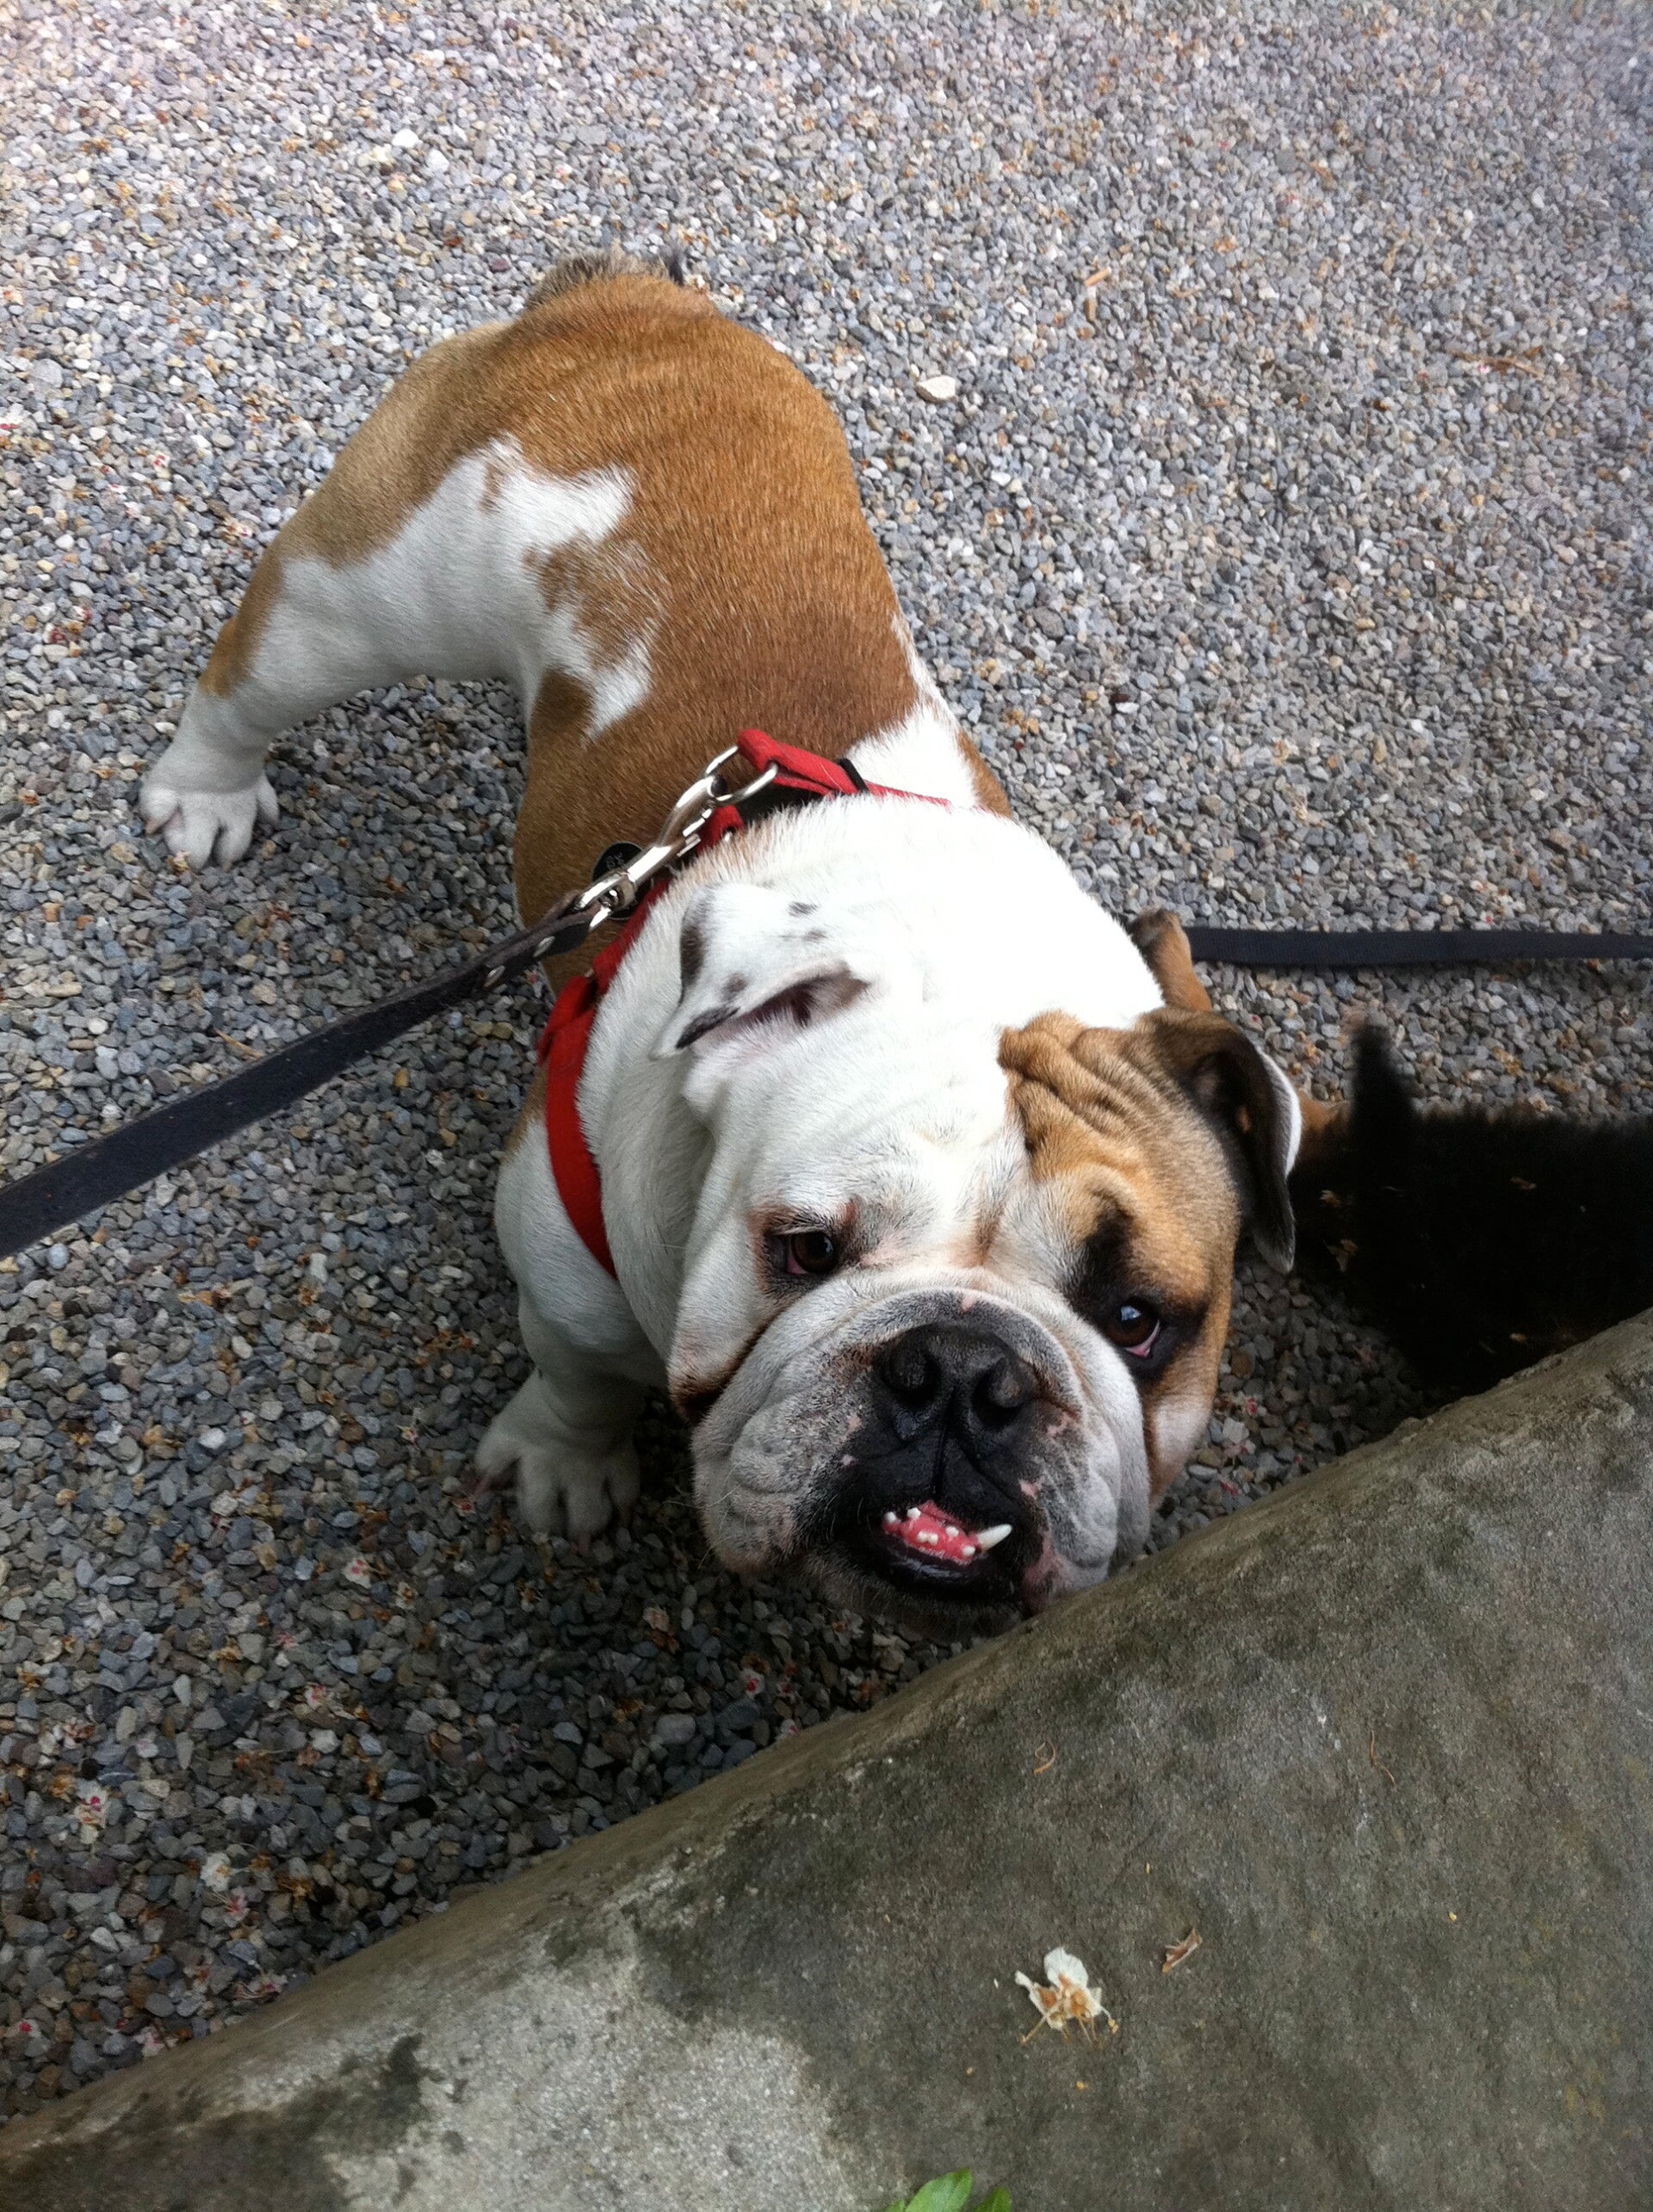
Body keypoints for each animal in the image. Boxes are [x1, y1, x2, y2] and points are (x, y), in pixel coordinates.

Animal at [143, 247, 1324, 1632]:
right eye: (803, 1251)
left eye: (1139, 1317)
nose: (967, 1371)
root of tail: (625, 301)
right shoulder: (564, 1253)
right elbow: (581, 1369)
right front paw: (565, 1465)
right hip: (367, 596)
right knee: (253, 673)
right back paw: (206, 794)